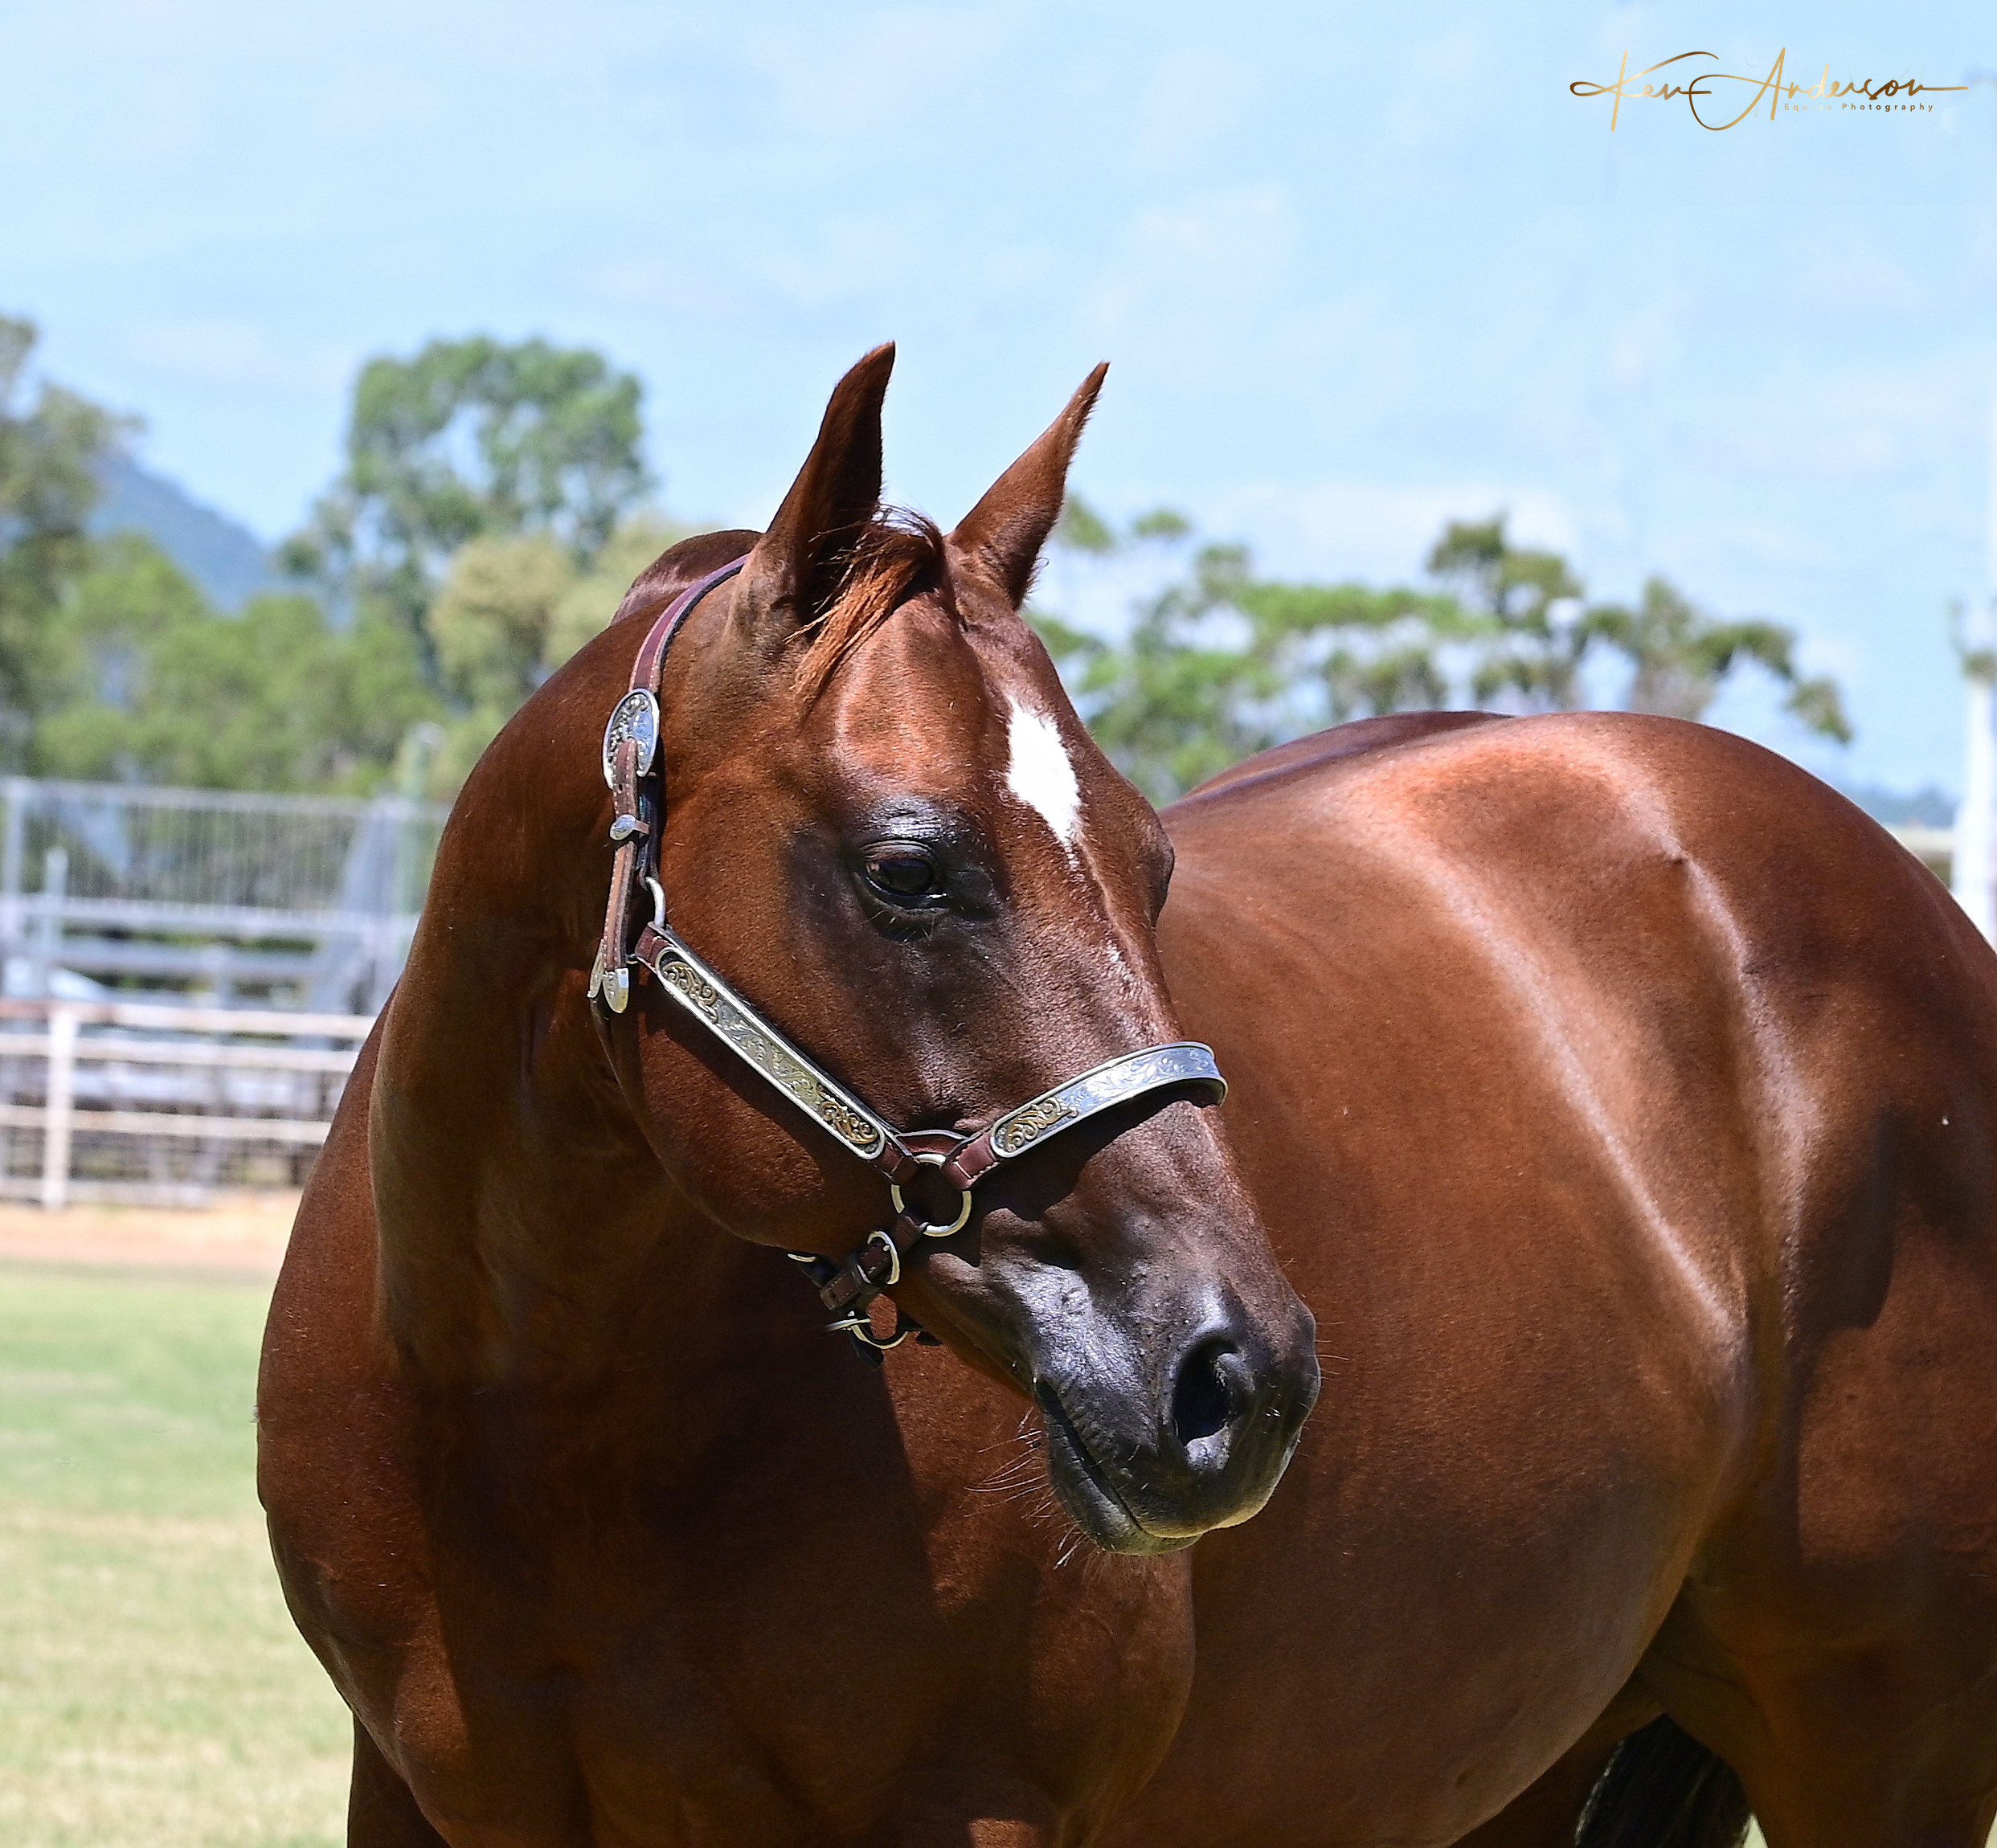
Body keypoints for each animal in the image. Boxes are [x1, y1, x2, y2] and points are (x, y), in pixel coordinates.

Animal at [259, 348, 1997, 1846]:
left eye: (1155, 863)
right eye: (909, 867)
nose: (1245, 1378)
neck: (545, 1426)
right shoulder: (408, 1795)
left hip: (1881, 1744)